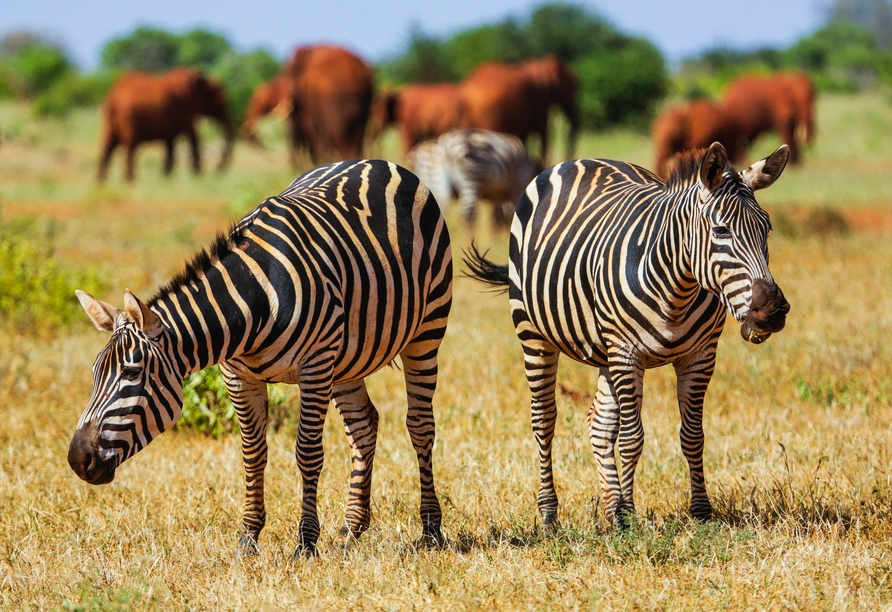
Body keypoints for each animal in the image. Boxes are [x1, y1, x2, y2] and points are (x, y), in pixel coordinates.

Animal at [68, 159, 453, 557]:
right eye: (95, 374)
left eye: (131, 373)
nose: (78, 460)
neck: (252, 304)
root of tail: (377, 162)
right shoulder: (239, 377)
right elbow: (253, 453)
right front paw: (249, 537)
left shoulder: (315, 366)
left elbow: (307, 452)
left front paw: (306, 542)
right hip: (346, 358)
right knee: (363, 425)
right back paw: (351, 528)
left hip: (427, 328)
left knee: (420, 425)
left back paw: (430, 529)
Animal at [408, 128, 540, 230]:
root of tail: (447, 147)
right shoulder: (518, 185)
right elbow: (512, 213)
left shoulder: (498, 193)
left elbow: (497, 214)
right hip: (470, 179)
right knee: (468, 212)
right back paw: (469, 238)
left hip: (435, 180)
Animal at [464, 142, 790, 529]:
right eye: (722, 231)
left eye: (767, 229)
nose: (773, 311)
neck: (677, 289)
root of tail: (579, 160)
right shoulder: (627, 352)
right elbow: (633, 438)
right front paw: (631, 517)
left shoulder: (699, 356)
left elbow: (693, 435)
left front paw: (699, 512)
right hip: (535, 335)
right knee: (544, 419)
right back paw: (549, 515)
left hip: (606, 353)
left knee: (599, 425)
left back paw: (610, 509)